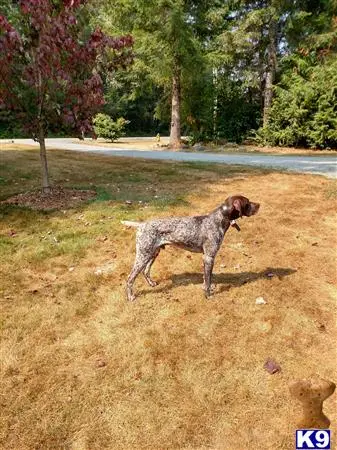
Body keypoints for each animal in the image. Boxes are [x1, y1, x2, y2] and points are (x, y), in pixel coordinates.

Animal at [122, 194, 258, 302]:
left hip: (153, 253)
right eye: (247, 202)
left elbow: (205, 278)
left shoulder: (206, 258)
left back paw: (151, 283)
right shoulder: (209, 257)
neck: (218, 219)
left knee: (145, 271)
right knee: (130, 279)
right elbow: (208, 279)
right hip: (143, 255)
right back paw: (130, 297)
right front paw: (208, 295)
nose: (259, 205)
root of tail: (141, 225)